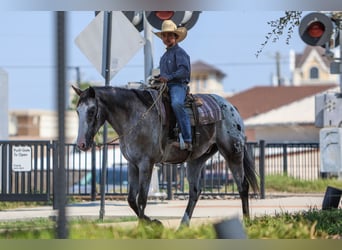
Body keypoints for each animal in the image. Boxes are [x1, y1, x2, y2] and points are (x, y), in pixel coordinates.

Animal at [73, 84, 260, 227]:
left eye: (91, 111)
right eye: (77, 111)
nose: (81, 144)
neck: (134, 116)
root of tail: (232, 108)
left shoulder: (146, 164)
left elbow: (142, 199)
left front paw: (146, 226)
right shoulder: (132, 165)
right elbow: (131, 199)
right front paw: (152, 222)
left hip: (232, 152)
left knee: (243, 185)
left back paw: (247, 221)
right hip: (197, 159)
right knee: (195, 191)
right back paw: (183, 225)